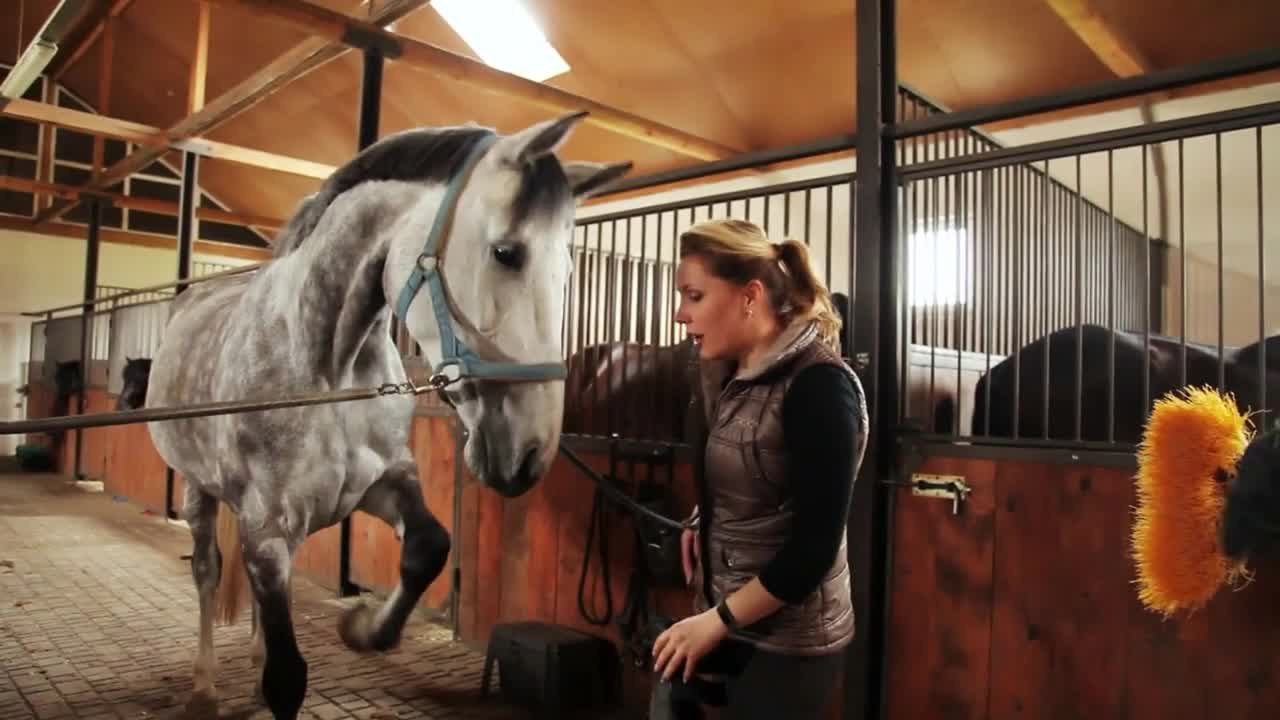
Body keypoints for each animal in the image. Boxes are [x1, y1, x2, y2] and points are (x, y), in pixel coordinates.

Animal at [142, 113, 632, 717]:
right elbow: (287, 677)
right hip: (197, 489)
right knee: (207, 573)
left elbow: (429, 548)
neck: (326, 371)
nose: (531, 453)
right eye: (506, 252)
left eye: (567, 266)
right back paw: (205, 686)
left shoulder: (383, 482)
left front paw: (363, 628)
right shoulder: (267, 528)